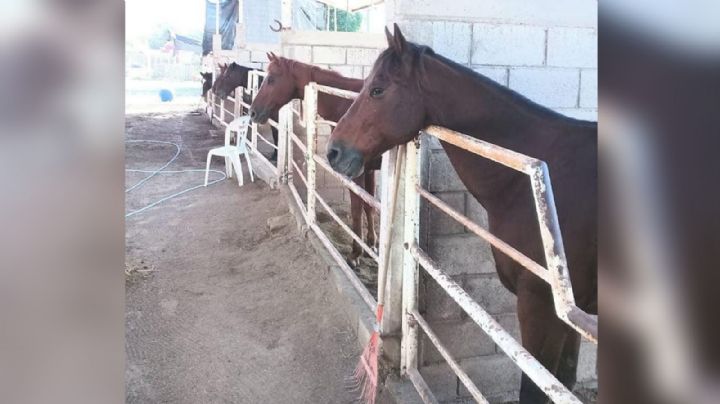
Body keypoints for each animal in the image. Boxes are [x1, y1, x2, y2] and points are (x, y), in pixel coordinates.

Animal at [249, 53, 381, 264]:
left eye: (271, 79)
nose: (252, 112)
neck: (347, 104)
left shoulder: (356, 174)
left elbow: (356, 209)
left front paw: (355, 253)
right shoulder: (369, 170)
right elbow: (369, 206)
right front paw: (371, 245)